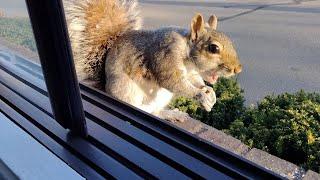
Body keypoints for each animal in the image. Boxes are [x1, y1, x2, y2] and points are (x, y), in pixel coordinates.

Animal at [63, 0, 241, 122]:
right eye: (213, 48)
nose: (237, 69)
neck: (187, 54)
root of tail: (105, 87)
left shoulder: (191, 73)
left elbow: (195, 80)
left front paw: (210, 92)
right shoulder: (166, 57)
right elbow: (173, 81)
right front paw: (201, 96)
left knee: (154, 112)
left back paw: (170, 114)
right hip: (126, 90)